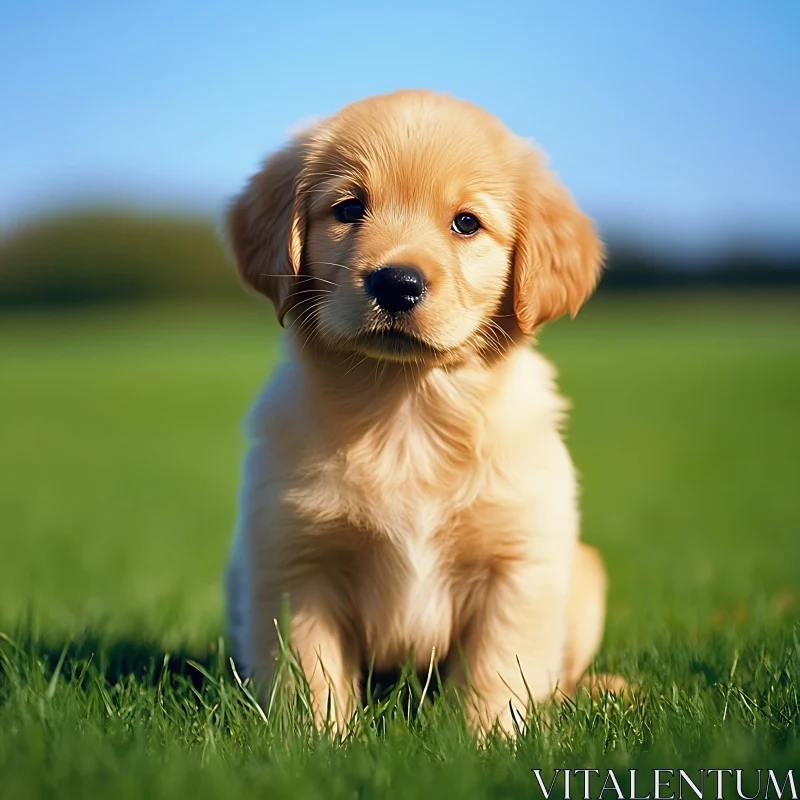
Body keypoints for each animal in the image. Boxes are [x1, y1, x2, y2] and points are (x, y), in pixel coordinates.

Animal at [223, 90, 608, 736]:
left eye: (466, 223)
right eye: (349, 209)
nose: (396, 283)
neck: (407, 411)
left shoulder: (519, 564)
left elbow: (498, 672)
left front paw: (488, 742)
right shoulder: (296, 563)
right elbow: (311, 673)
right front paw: (315, 743)